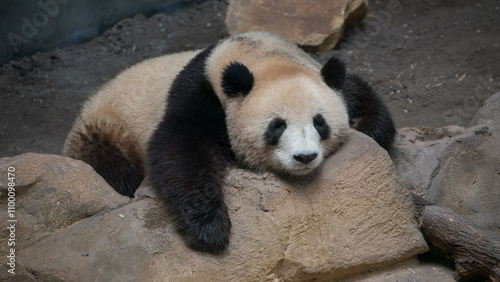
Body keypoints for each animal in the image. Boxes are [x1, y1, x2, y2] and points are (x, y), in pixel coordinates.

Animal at [63, 31, 394, 253]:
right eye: (277, 126)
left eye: (319, 122)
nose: (305, 157)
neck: (259, 57)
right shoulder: (200, 94)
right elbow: (179, 146)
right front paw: (210, 229)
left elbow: (357, 92)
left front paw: (368, 129)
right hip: (106, 131)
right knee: (111, 165)